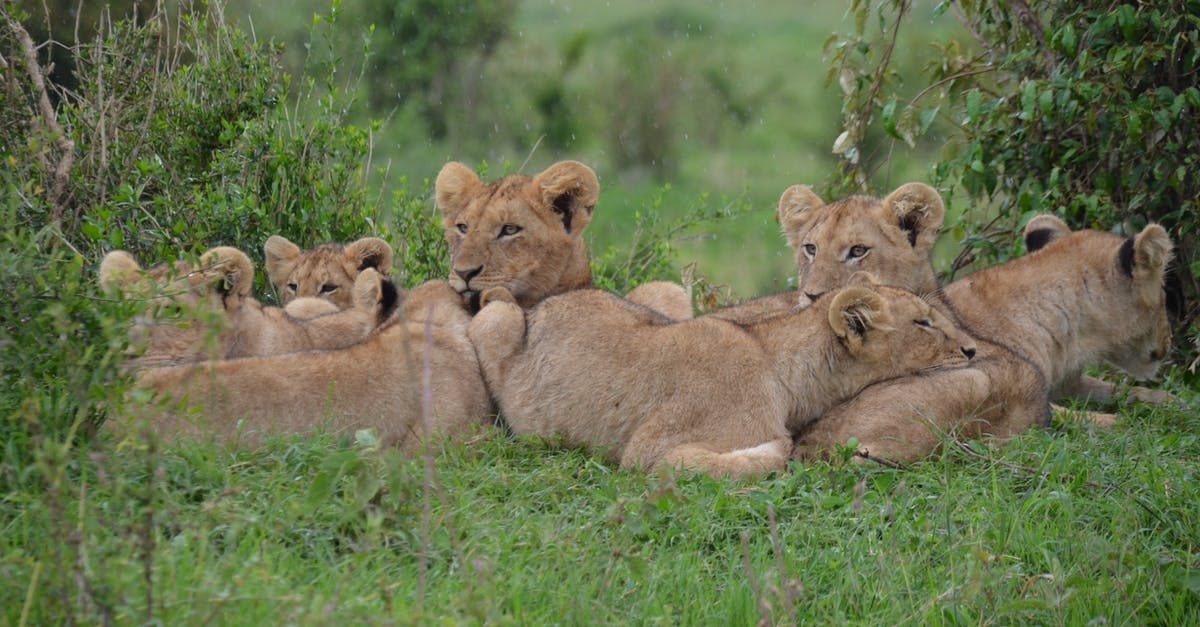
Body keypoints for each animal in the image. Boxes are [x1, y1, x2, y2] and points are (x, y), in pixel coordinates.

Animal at [465, 275, 974, 478]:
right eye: (924, 323)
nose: (971, 349)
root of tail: (540, 306)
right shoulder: (646, 453)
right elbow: (767, 455)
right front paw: (777, 448)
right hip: (494, 321)